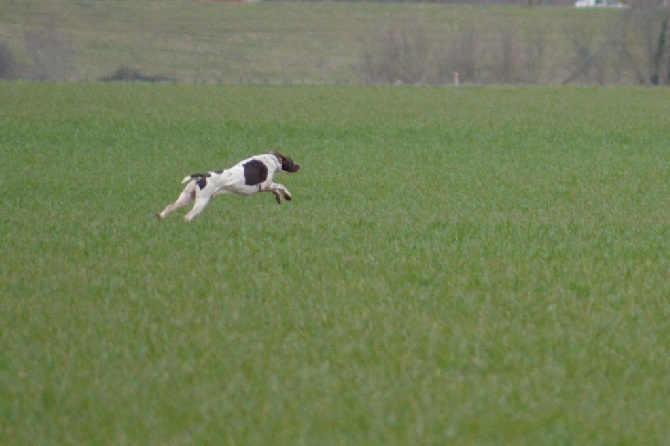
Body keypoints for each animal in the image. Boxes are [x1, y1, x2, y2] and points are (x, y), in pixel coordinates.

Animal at [156, 152, 300, 221]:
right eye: (291, 161)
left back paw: (160, 218)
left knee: (169, 208)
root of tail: (202, 176)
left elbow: (276, 190)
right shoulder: (265, 185)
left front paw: (279, 198)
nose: (299, 166)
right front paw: (287, 195)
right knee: (188, 216)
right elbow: (280, 186)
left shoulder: (265, 187)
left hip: (185, 198)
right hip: (201, 201)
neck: (271, 160)